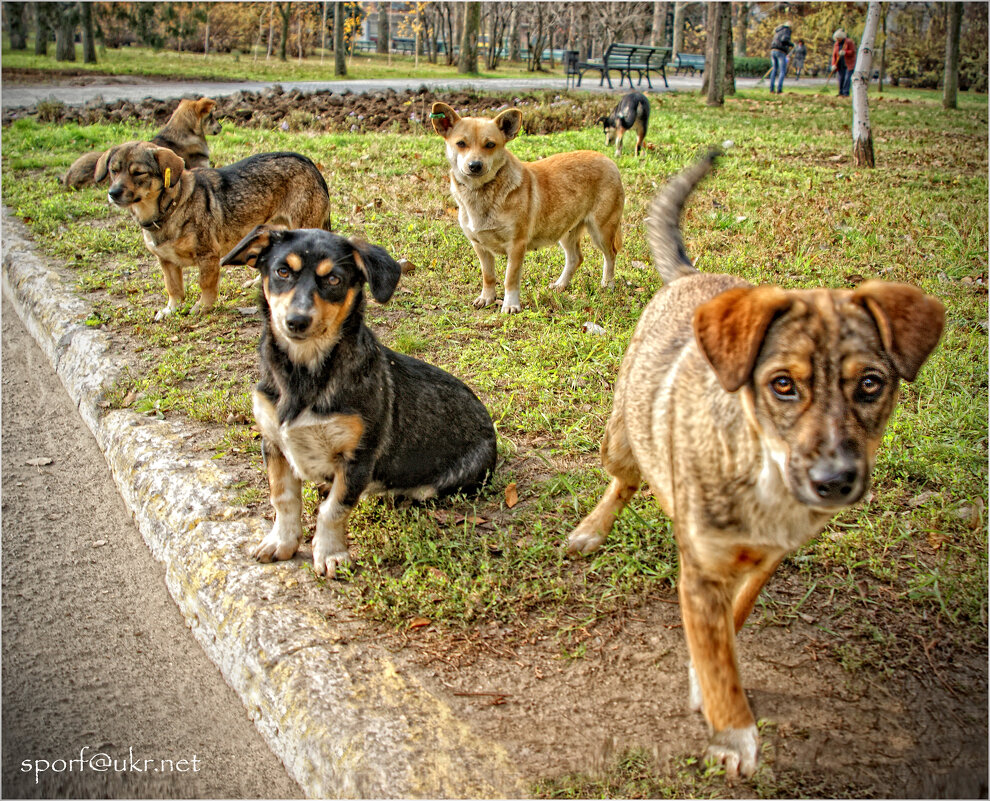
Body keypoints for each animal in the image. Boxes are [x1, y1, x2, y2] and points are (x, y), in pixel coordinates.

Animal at [226, 225, 504, 576]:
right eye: (282, 272)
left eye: (334, 279)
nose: (296, 321)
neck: (305, 372)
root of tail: (489, 425)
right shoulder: (274, 443)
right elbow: (283, 499)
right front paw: (282, 542)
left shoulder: (358, 457)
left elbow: (333, 509)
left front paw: (330, 554)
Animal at [432, 100, 624, 312]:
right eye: (461, 143)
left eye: (490, 145)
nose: (475, 165)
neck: (483, 194)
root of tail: (608, 160)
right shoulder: (479, 246)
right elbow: (488, 276)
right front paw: (487, 298)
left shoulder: (516, 245)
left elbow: (510, 279)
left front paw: (510, 305)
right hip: (566, 230)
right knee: (575, 258)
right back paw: (561, 285)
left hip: (602, 230)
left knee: (611, 255)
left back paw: (608, 284)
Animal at [564, 153, 944, 780]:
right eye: (782, 385)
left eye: (871, 384)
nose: (834, 482)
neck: (764, 474)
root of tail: (695, 276)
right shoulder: (702, 573)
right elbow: (718, 656)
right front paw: (733, 733)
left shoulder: (768, 557)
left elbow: (733, 622)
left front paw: (709, 678)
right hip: (621, 435)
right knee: (623, 480)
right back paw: (593, 528)